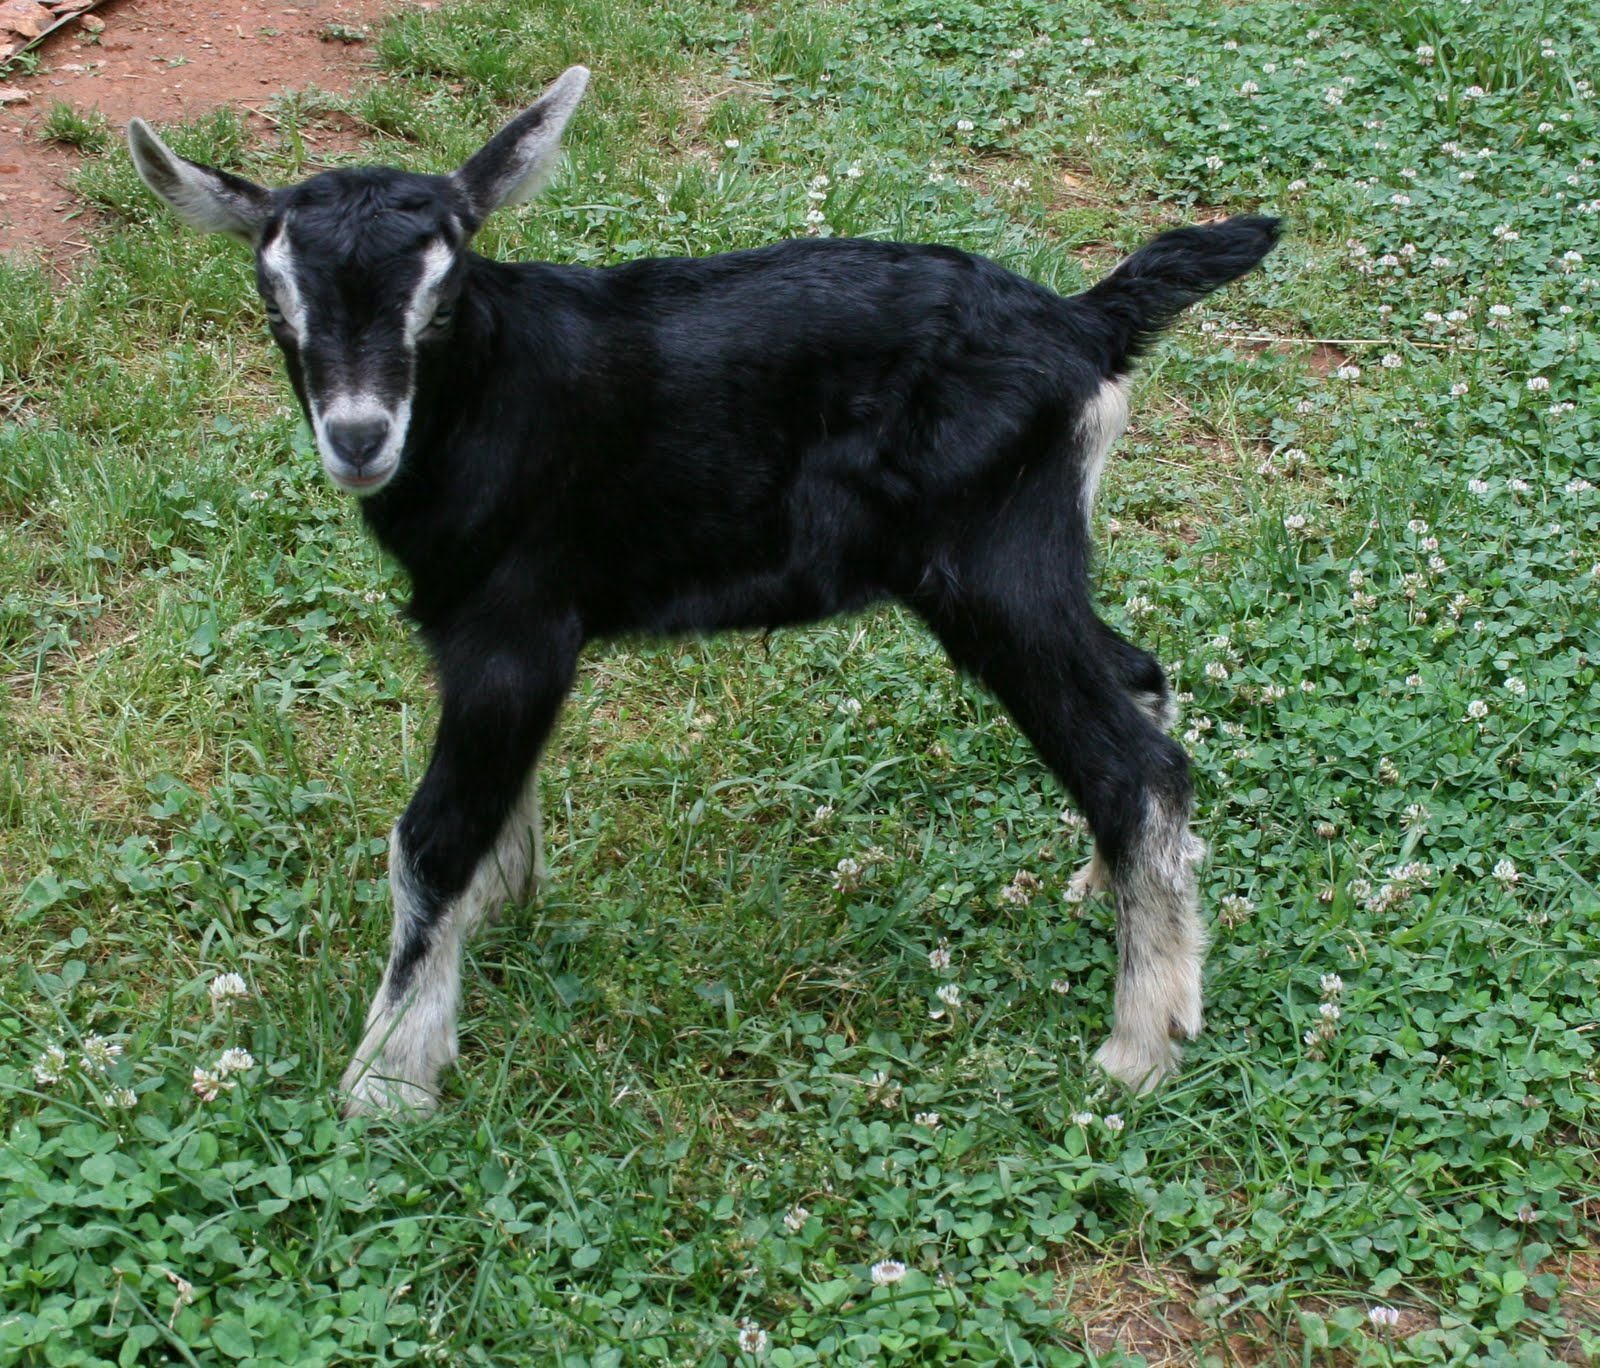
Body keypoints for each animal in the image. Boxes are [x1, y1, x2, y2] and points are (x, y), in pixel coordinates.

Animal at [128, 66, 1281, 1116]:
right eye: (276, 308)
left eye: (439, 303)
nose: (360, 436)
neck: (485, 400)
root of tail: (1084, 328)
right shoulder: (483, 644)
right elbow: (494, 807)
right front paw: (498, 913)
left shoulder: (515, 630)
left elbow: (432, 837)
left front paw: (389, 1077)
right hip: (1030, 557)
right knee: (1137, 678)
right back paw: (1108, 891)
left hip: (991, 564)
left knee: (1135, 766)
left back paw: (1143, 1040)